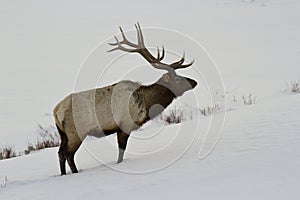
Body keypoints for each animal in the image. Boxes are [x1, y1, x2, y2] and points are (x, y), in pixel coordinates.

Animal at [53, 22, 197, 174]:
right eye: (177, 79)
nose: (194, 82)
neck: (146, 103)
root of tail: (56, 111)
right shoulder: (124, 125)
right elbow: (121, 151)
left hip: (63, 134)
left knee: (60, 153)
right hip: (76, 132)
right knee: (68, 154)